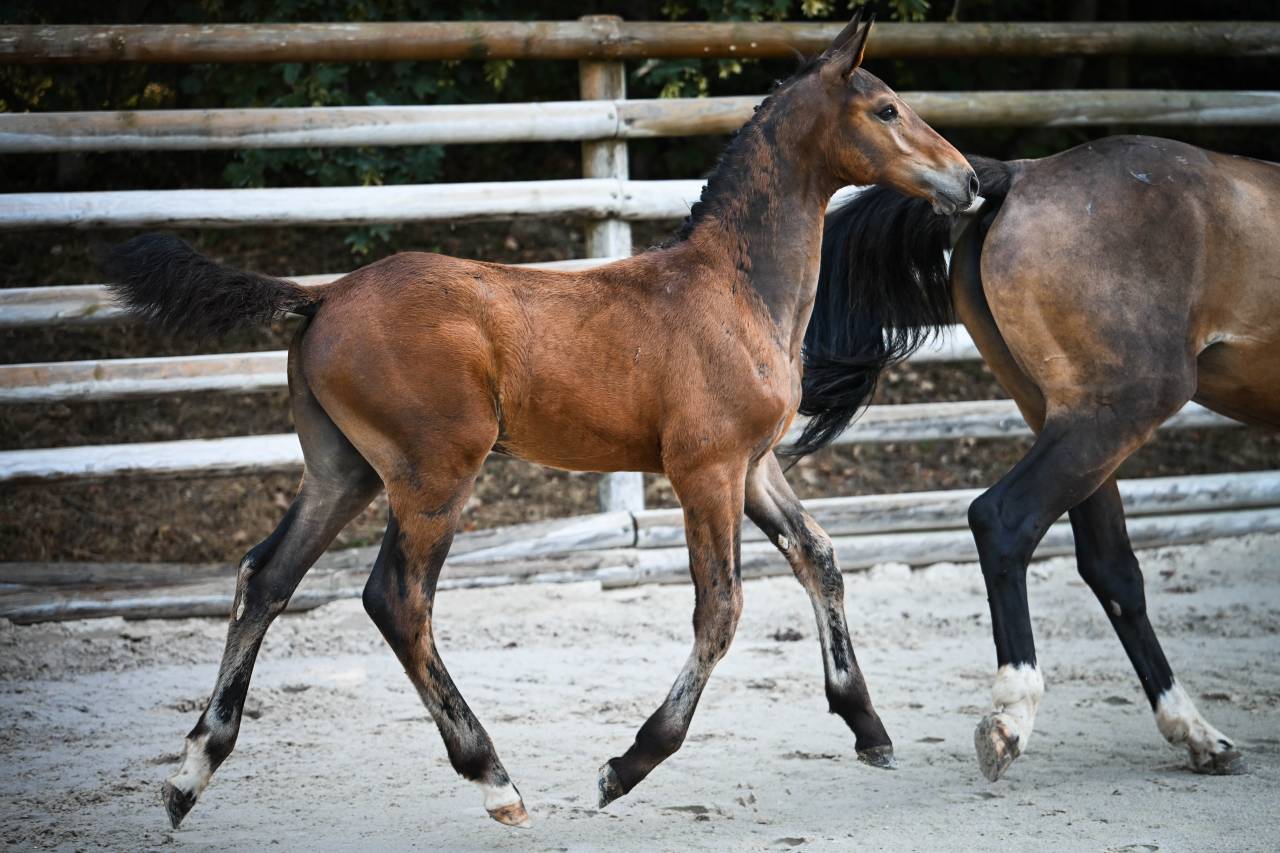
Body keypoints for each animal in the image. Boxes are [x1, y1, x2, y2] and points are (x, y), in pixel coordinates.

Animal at [105, 13, 977, 829]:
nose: (967, 180)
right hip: (435, 473)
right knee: (397, 600)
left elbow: (819, 557)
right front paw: (625, 765)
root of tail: (321, 297)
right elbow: (721, 608)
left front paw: (868, 727)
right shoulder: (707, 469)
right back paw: (494, 779)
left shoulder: (755, 463)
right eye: (887, 108)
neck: (735, 287)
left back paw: (189, 775)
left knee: (266, 577)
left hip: (341, 471)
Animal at [797, 133, 1279, 783]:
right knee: (1005, 519)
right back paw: (1011, 717)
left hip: (1068, 416)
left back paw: (1198, 733)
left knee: (1110, 567)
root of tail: (1023, 175)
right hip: (1116, 410)